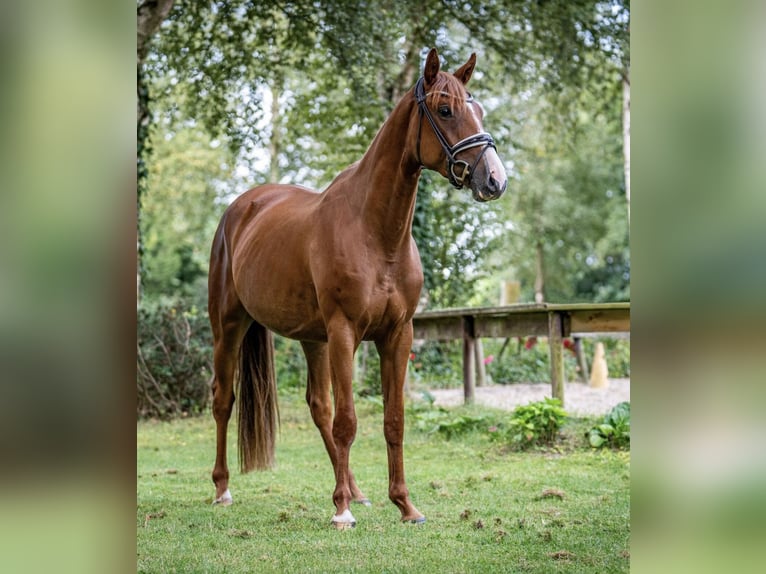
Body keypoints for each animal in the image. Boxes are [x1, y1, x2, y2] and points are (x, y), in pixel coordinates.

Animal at [212, 50, 510, 532]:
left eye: (478, 109)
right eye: (446, 109)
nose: (495, 180)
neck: (375, 233)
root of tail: (242, 207)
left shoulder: (397, 336)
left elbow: (392, 421)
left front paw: (405, 505)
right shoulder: (344, 332)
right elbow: (349, 422)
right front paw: (341, 512)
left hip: (313, 340)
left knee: (319, 407)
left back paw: (355, 490)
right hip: (230, 327)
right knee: (224, 400)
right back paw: (223, 489)